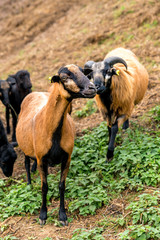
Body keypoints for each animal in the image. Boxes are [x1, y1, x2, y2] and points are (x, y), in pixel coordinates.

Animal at [15, 63, 96, 225]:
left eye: (84, 72)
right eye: (65, 77)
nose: (92, 88)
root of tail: (37, 92)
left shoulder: (67, 158)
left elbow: (61, 186)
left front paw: (62, 216)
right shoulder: (41, 159)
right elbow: (44, 187)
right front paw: (43, 215)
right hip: (26, 148)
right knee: (26, 163)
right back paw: (29, 185)